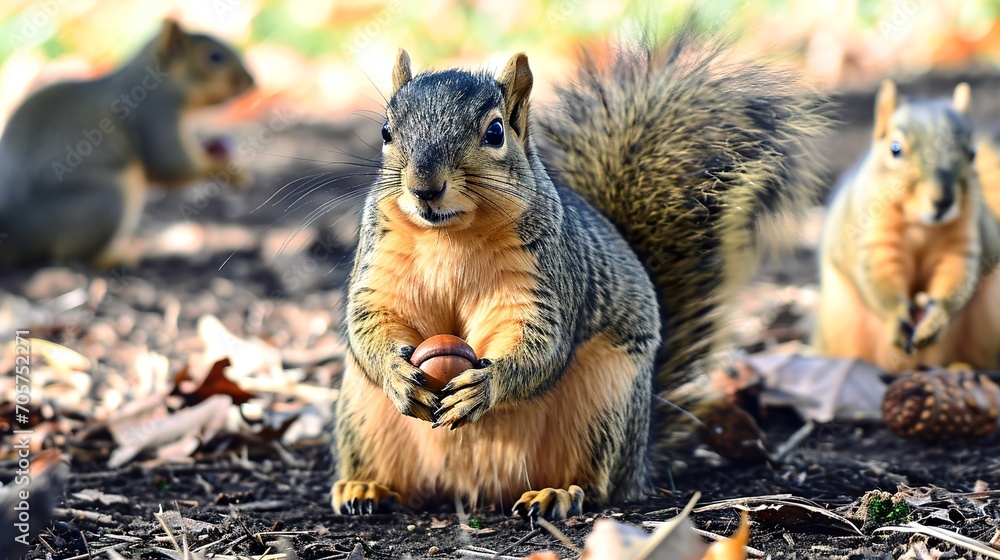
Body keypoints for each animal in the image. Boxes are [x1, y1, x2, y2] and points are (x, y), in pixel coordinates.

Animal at [0, 19, 254, 267]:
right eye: (214, 58)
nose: (251, 81)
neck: (153, 79)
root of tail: (13, 234)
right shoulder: (154, 112)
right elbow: (167, 164)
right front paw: (227, 170)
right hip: (104, 201)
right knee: (75, 256)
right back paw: (118, 256)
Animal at [332, 35, 830, 520]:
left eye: (494, 132)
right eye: (386, 131)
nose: (424, 188)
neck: (449, 236)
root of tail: (471, 492)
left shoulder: (545, 279)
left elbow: (540, 344)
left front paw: (486, 386)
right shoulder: (381, 269)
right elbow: (370, 322)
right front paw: (398, 374)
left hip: (601, 406)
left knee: (598, 486)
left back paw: (557, 493)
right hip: (363, 414)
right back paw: (366, 488)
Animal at [813, 80, 1000, 372]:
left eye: (972, 154)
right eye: (895, 149)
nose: (943, 201)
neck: (922, 226)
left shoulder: (962, 241)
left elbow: (955, 276)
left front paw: (935, 318)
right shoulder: (874, 237)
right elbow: (881, 278)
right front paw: (896, 317)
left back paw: (962, 367)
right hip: (839, 319)